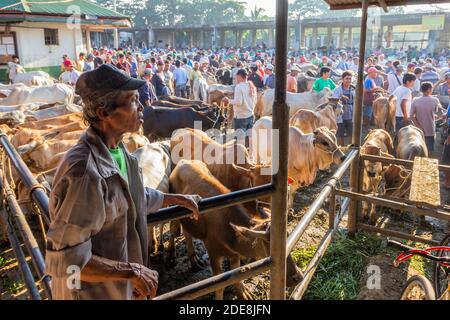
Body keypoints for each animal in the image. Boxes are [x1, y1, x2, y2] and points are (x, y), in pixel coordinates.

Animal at [169, 160, 302, 300]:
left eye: (287, 236)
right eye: (270, 245)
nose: (298, 277)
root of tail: (183, 162)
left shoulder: (234, 255)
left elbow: (237, 276)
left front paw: (242, 293)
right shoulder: (213, 254)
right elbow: (219, 286)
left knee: (187, 232)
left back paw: (193, 259)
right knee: (174, 229)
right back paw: (173, 256)